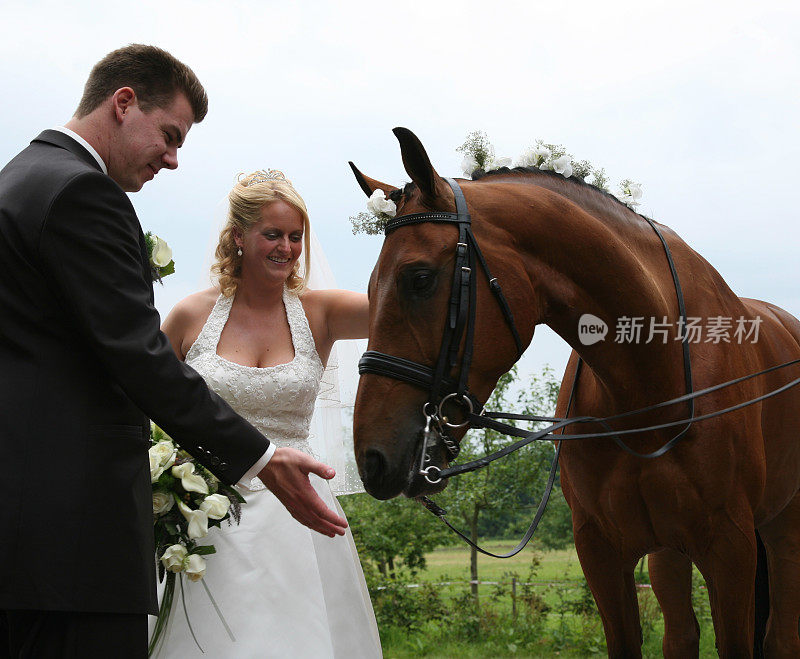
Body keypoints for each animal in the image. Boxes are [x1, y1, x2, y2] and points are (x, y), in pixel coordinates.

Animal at [354, 126, 800, 656]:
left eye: (419, 278)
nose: (372, 460)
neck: (652, 389)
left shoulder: (730, 549)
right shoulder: (600, 551)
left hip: (783, 531)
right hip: (669, 553)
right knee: (681, 634)